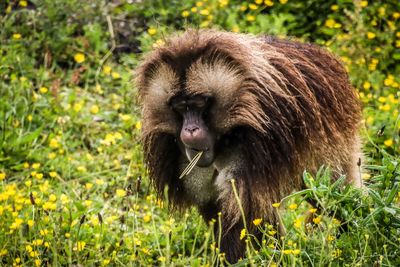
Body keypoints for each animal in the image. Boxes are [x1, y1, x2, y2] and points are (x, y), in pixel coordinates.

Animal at [135, 29, 362, 264]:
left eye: (199, 104)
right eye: (180, 107)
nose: (190, 130)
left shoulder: (255, 144)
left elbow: (245, 213)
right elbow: (222, 212)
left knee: (335, 193)